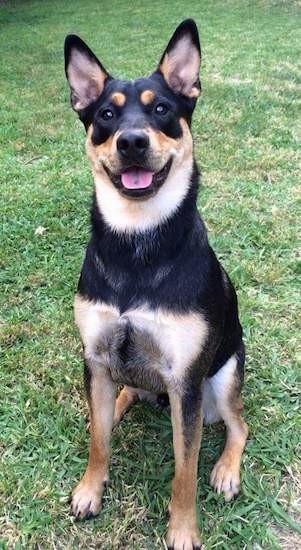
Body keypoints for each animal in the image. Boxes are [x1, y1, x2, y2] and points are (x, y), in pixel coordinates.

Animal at [63, 19, 248, 548]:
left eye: (162, 108)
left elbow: (184, 470)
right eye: (105, 115)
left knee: (239, 425)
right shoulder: (95, 358)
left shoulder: (186, 382)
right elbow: (98, 440)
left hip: (223, 376)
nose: (131, 142)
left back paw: (227, 470)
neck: (137, 240)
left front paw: (183, 530)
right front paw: (90, 489)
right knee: (117, 399)